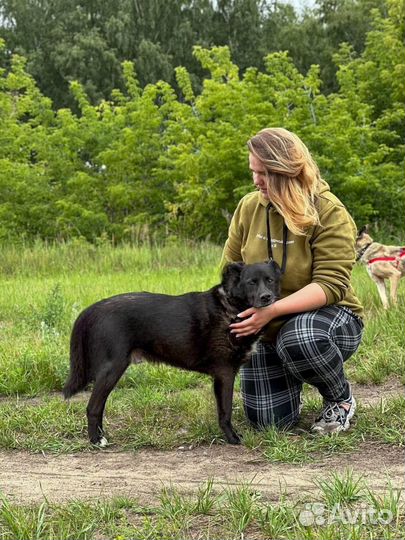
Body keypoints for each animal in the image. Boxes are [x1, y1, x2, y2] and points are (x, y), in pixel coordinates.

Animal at [63, 260, 280, 442]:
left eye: (269, 280)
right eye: (251, 283)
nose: (266, 297)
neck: (232, 307)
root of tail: (93, 308)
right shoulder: (225, 373)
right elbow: (225, 411)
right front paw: (232, 438)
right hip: (112, 368)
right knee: (93, 407)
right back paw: (96, 440)